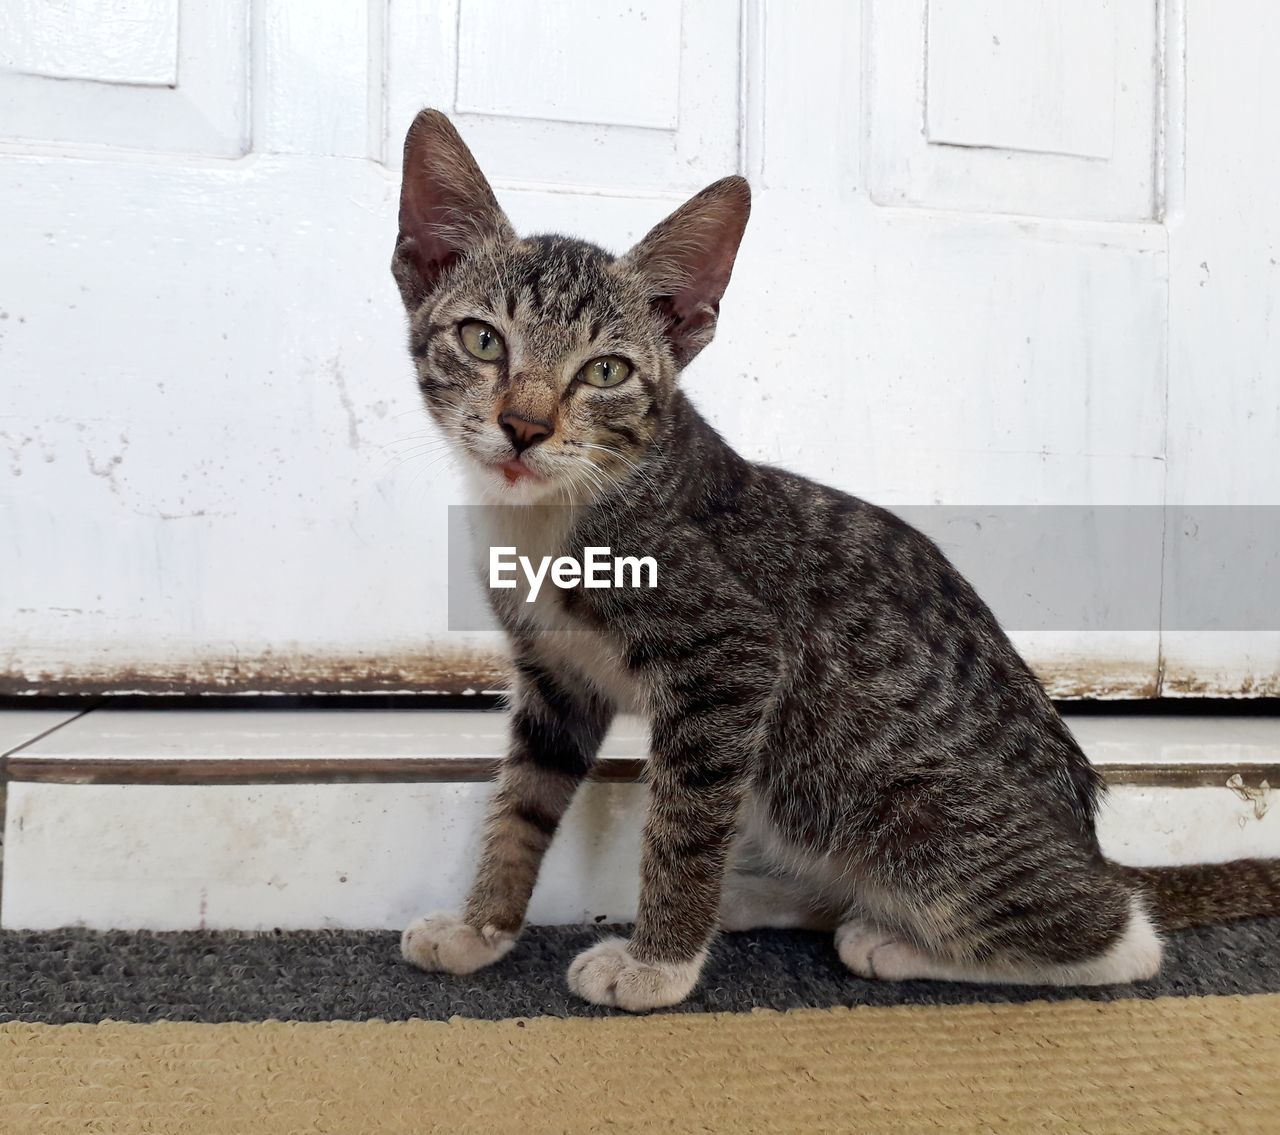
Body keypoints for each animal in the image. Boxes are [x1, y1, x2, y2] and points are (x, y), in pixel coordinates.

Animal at [391, 106, 1280, 1013]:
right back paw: (765, 898)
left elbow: (685, 822)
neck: (554, 511)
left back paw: (890, 937)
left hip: (883, 803)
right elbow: (523, 801)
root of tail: (1089, 838)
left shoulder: (732, 659)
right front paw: (482, 926)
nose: (525, 427)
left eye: (605, 370)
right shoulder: (555, 676)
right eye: (482, 339)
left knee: (1121, 935)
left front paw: (659, 963)